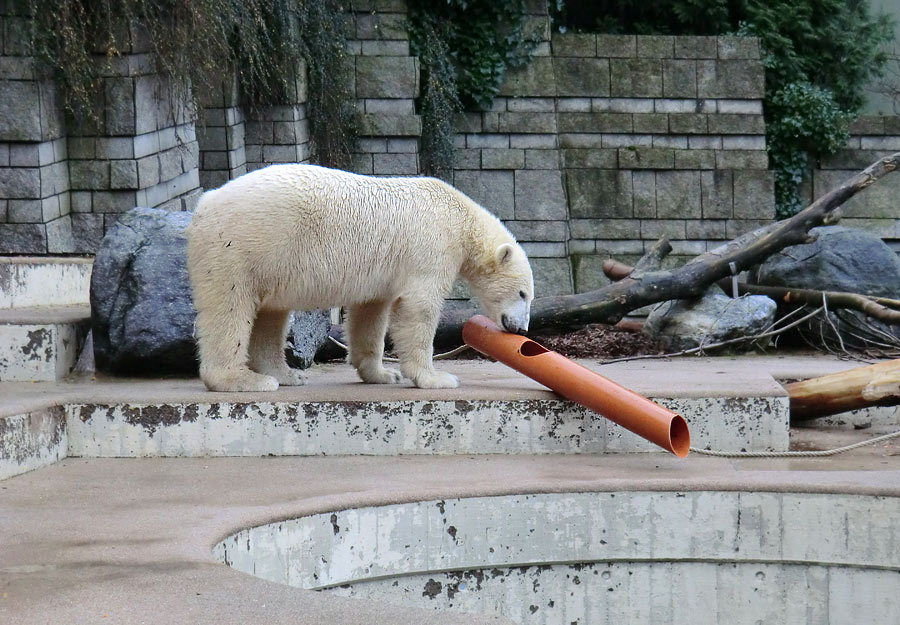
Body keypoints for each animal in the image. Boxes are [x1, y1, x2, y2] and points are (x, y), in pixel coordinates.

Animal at [185, 163, 532, 392]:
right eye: (523, 294)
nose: (521, 329)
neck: (459, 217)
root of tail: (204, 203)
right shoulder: (431, 246)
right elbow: (418, 308)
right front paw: (437, 378)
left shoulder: (383, 271)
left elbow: (370, 313)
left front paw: (382, 374)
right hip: (242, 246)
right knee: (229, 309)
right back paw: (243, 380)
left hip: (270, 260)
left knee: (271, 313)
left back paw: (287, 374)